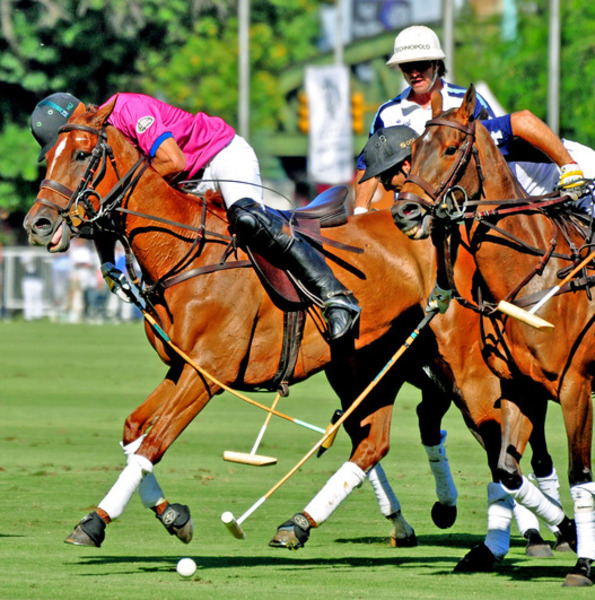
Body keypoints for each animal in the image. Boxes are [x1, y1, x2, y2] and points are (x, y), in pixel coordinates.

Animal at [24, 101, 568, 564]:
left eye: (81, 154)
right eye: (46, 156)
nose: (37, 223)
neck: (183, 254)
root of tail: (452, 228)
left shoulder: (207, 374)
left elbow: (153, 443)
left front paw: (94, 522)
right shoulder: (183, 367)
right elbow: (134, 430)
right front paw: (174, 516)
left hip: (464, 364)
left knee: (498, 435)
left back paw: (538, 532)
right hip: (366, 366)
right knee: (376, 441)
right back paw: (308, 523)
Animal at [394, 84, 592, 584]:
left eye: (450, 149)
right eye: (414, 151)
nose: (404, 212)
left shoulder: (576, 386)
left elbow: (580, 473)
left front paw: (582, 562)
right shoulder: (518, 387)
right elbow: (507, 470)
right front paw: (560, 534)